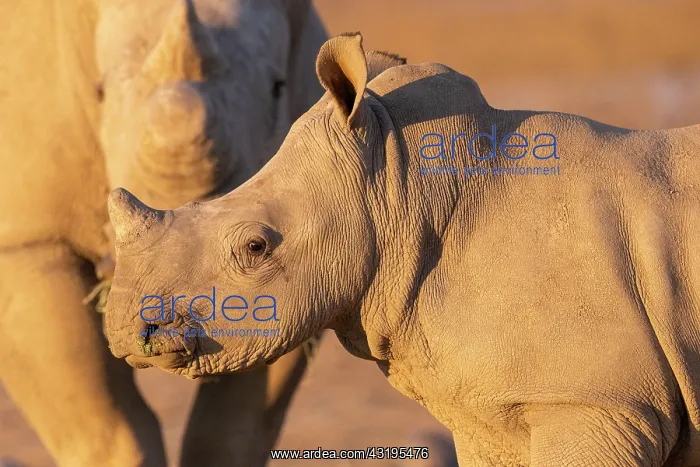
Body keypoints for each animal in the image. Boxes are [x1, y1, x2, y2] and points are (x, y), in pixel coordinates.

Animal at [0, 0, 327, 465]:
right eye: (98, 92)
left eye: (278, 88)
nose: (171, 307)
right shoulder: (26, 238)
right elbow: (104, 422)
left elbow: (230, 429)